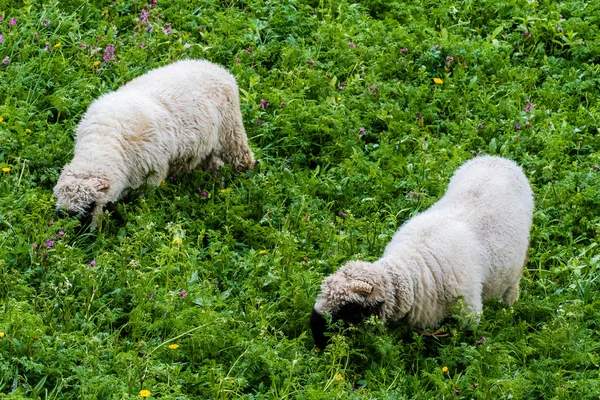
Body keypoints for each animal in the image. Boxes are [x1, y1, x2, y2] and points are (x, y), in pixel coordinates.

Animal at [53, 58, 255, 228]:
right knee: (214, 164)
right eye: (62, 212)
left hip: (231, 132)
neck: (104, 141)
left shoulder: (151, 176)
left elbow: (142, 200)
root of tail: (214, 66)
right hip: (206, 145)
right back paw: (216, 185)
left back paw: (247, 180)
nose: (79, 235)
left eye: (90, 205)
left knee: (243, 158)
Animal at [310, 155, 536, 348]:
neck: (410, 269)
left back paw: (508, 308)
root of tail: (499, 159)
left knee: (511, 289)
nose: (317, 339)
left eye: (349, 309)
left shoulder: (469, 308)